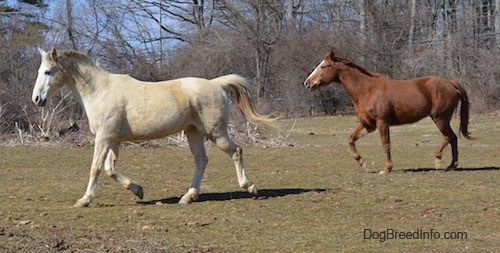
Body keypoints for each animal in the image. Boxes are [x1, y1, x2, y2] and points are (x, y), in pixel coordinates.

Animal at [31, 48, 276, 207]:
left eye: (47, 71)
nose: (36, 99)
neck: (101, 90)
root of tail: (216, 84)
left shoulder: (104, 137)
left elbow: (96, 168)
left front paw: (84, 200)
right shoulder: (114, 140)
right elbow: (110, 169)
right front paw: (138, 191)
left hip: (215, 133)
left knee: (236, 151)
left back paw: (250, 187)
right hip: (193, 132)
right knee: (201, 160)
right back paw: (188, 197)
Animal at [302, 51, 474, 174]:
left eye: (323, 66)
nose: (307, 83)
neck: (367, 90)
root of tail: (451, 83)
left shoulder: (382, 122)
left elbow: (386, 144)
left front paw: (387, 168)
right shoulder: (368, 125)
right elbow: (351, 139)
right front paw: (362, 163)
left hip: (440, 118)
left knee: (449, 137)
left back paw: (439, 161)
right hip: (441, 119)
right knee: (453, 138)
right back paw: (451, 165)